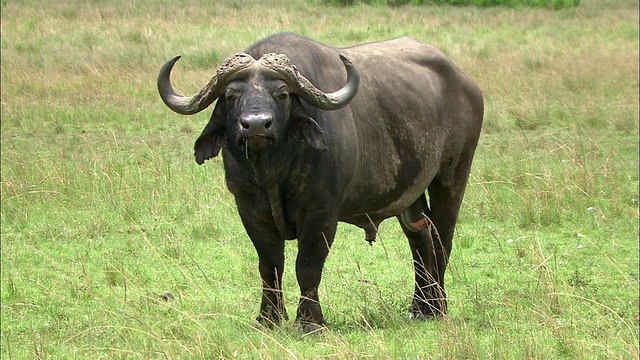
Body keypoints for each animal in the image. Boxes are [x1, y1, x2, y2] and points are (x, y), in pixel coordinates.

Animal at [158, 32, 482, 334]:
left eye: (282, 93)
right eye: (231, 95)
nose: (256, 124)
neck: (273, 171)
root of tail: (466, 83)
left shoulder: (321, 214)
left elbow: (308, 266)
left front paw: (310, 322)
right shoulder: (249, 209)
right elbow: (269, 264)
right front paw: (268, 319)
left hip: (453, 173)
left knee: (442, 237)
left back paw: (437, 307)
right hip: (410, 193)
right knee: (420, 238)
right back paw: (420, 308)